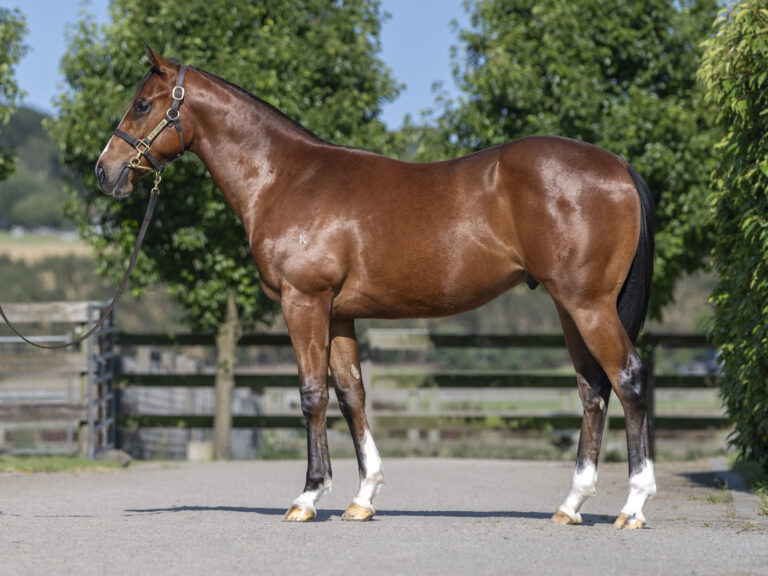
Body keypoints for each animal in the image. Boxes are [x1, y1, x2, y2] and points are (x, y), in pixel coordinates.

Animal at [97, 47, 656, 528]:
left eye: (142, 103)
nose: (105, 172)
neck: (286, 178)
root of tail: (619, 166)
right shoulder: (340, 313)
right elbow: (352, 395)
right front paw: (362, 498)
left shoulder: (304, 302)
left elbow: (312, 393)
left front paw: (308, 496)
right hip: (569, 308)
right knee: (592, 390)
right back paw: (571, 504)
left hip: (588, 306)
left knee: (627, 378)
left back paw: (633, 506)